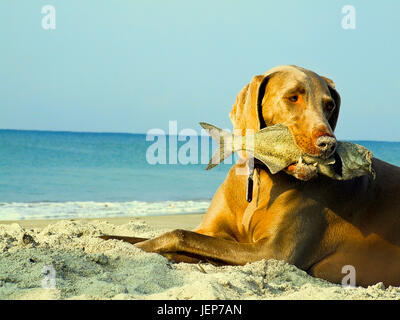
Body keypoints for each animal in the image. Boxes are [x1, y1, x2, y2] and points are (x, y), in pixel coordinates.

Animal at [101, 65, 400, 288]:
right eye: (293, 97)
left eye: (329, 106)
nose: (328, 144)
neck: (260, 179)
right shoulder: (214, 231)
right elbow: (140, 237)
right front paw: (106, 240)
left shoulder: (273, 252)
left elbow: (179, 234)